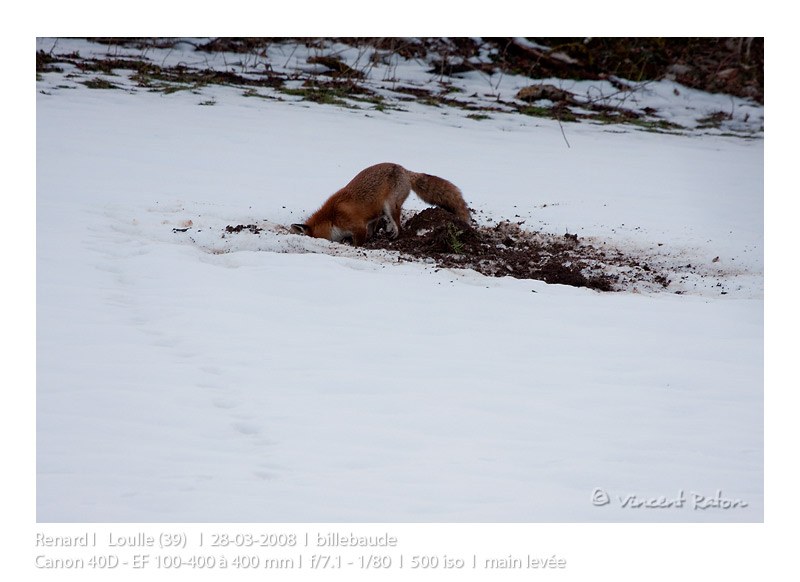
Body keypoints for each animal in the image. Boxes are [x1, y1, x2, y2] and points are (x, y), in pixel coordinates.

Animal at [290, 163, 470, 245]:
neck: (332, 217)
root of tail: (404, 169)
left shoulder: (357, 227)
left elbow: (359, 242)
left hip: (391, 206)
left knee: (399, 227)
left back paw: (394, 234)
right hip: (379, 211)